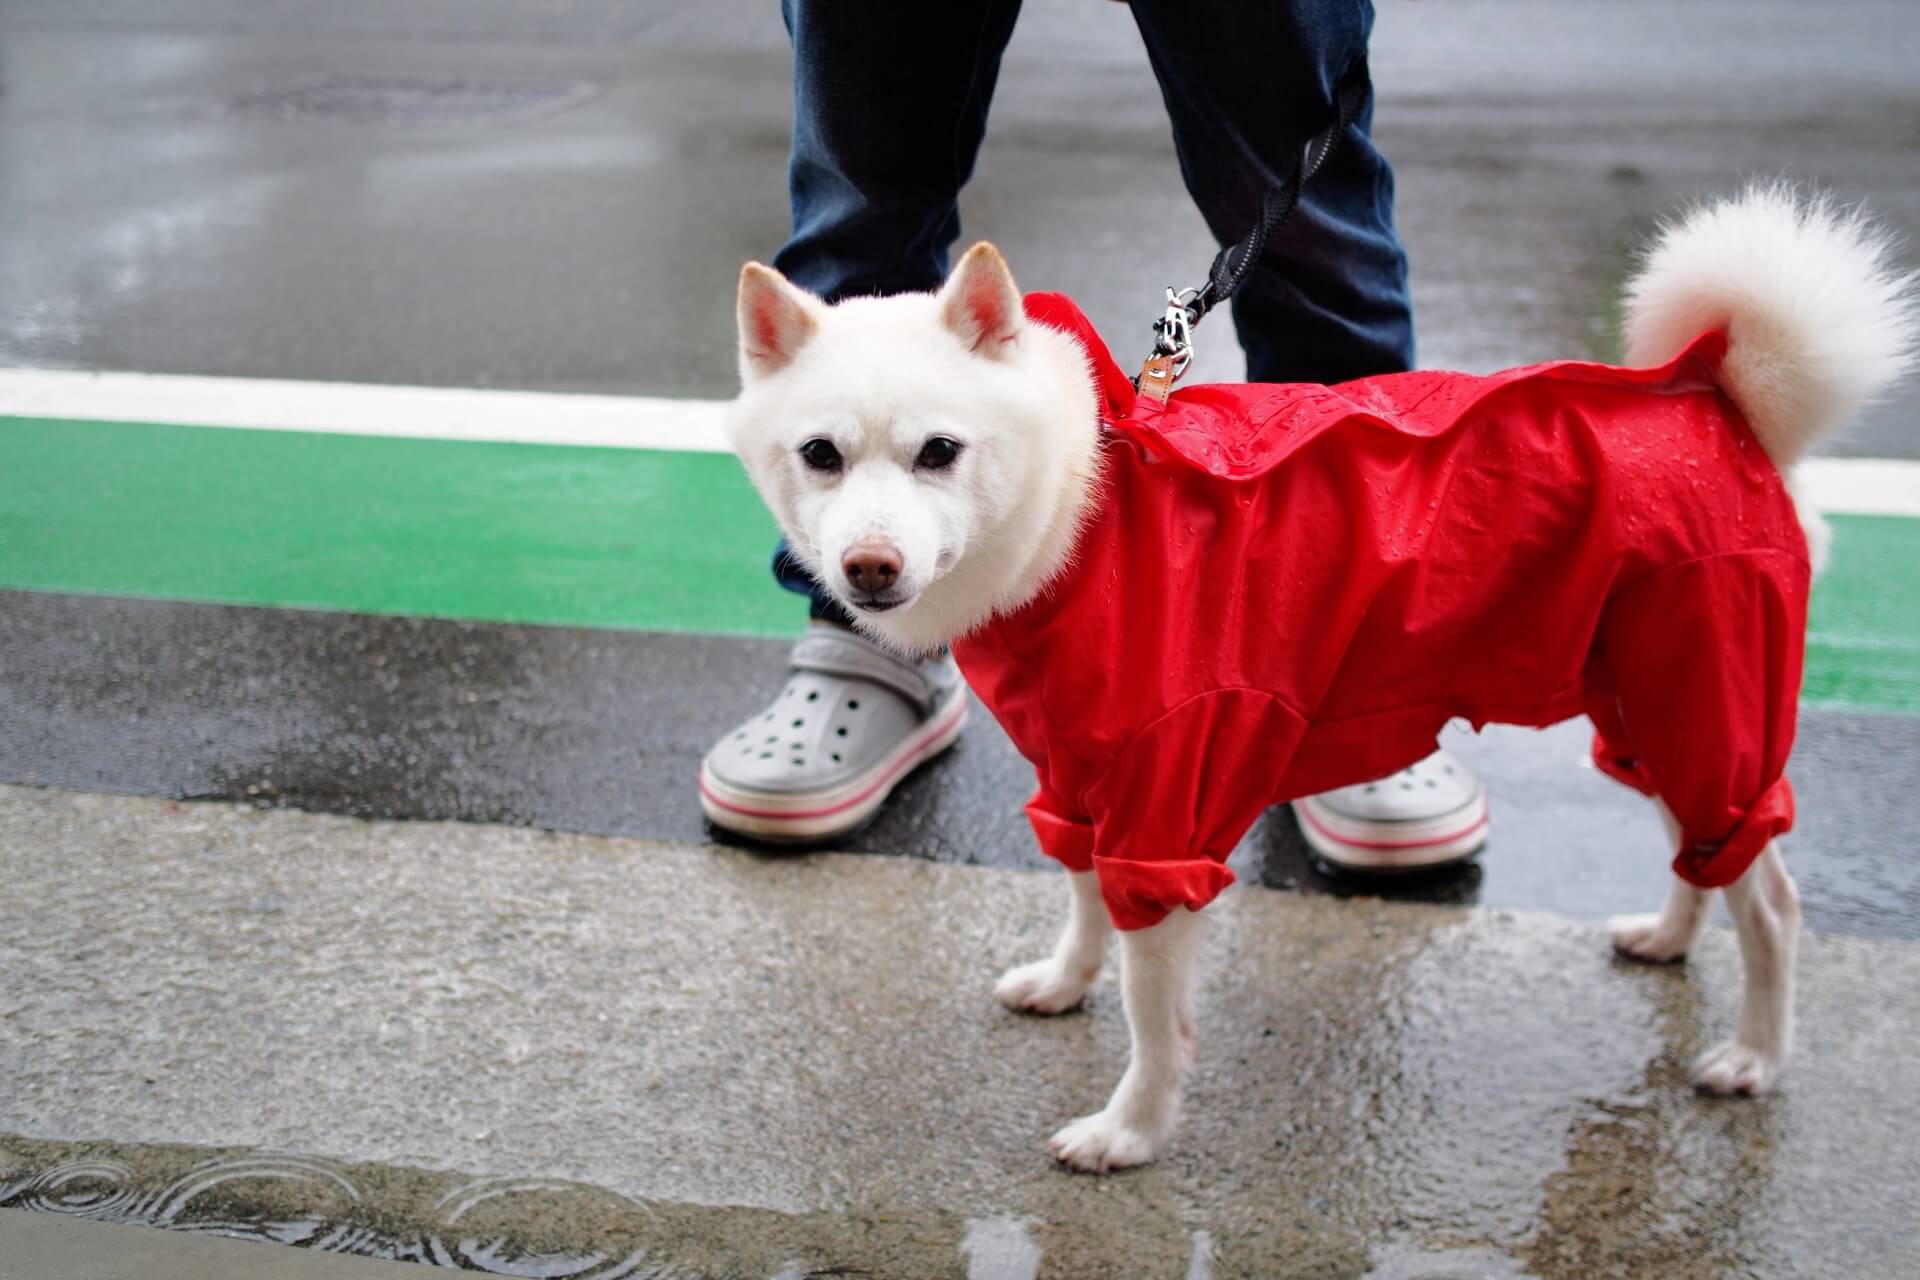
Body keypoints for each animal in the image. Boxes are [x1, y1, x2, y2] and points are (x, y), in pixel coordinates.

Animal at [725, 185, 1912, 1174]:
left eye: (940, 451)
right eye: (822, 455)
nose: (867, 570)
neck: (1083, 509)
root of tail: (1726, 408)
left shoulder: (1169, 807)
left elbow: (1154, 1011)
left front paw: (1132, 1130)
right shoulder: (1080, 777)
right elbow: (1083, 900)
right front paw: (1066, 983)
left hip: (1707, 692)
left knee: (1773, 899)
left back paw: (1755, 1057)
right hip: (1656, 699)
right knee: (1705, 850)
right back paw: (1669, 936)